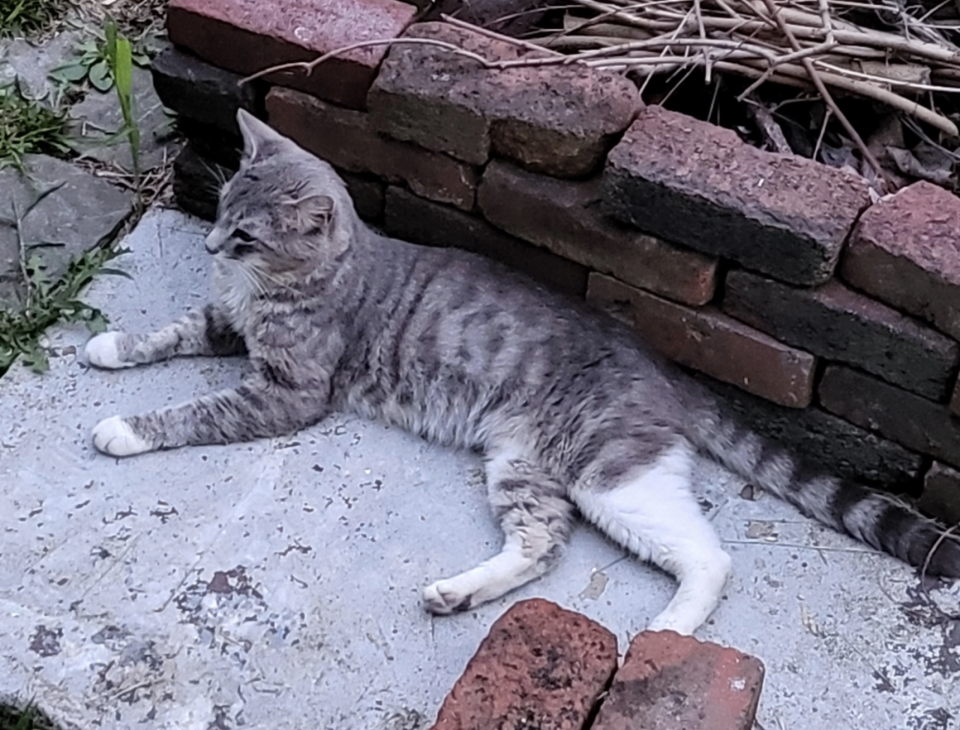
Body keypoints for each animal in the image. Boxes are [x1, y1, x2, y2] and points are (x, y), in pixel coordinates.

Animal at [84, 108, 960, 632]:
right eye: (221, 211)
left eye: (245, 236)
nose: (208, 246)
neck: (286, 284)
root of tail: (662, 366)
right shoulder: (227, 326)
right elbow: (169, 333)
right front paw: (108, 348)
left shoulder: (288, 392)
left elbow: (193, 413)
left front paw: (124, 427)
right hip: (524, 467)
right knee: (543, 544)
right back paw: (459, 591)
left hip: (610, 473)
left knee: (707, 558)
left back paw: (669, 629)